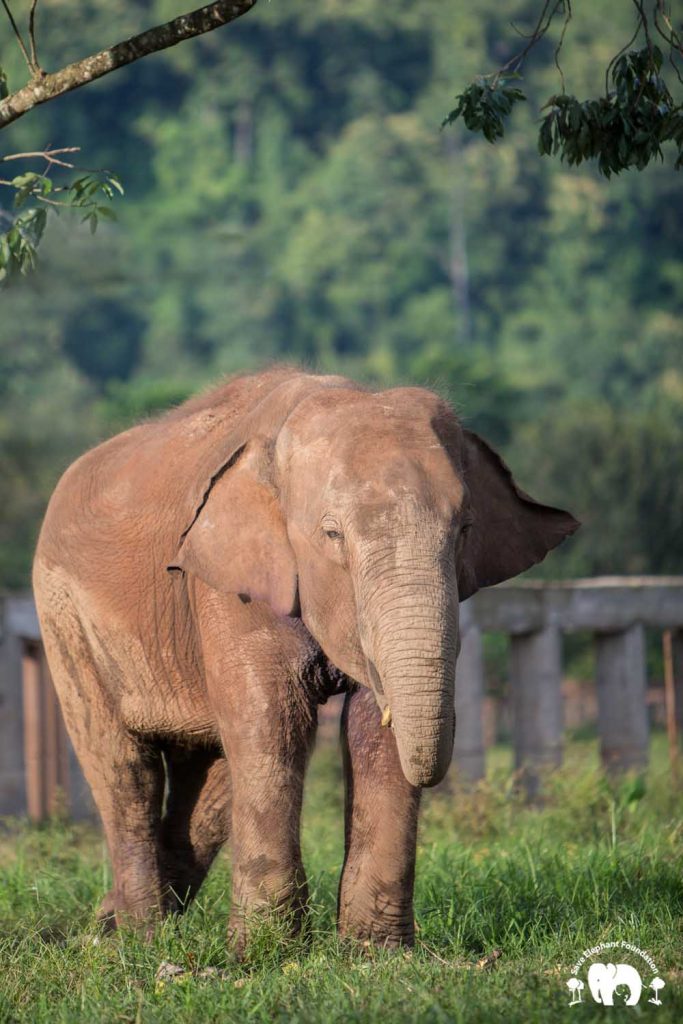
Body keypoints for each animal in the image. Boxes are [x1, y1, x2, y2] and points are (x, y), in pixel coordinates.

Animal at [30, 368, 577, 950]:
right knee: (123, 767)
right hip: (64, 619)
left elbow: (370, 728)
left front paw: (375, 954)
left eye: (465, 531)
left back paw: (113, 927)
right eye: (332, 534)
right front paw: (264, 955)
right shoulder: (228, 580)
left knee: (210, 783)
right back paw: (139, 937)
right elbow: (274, 721)